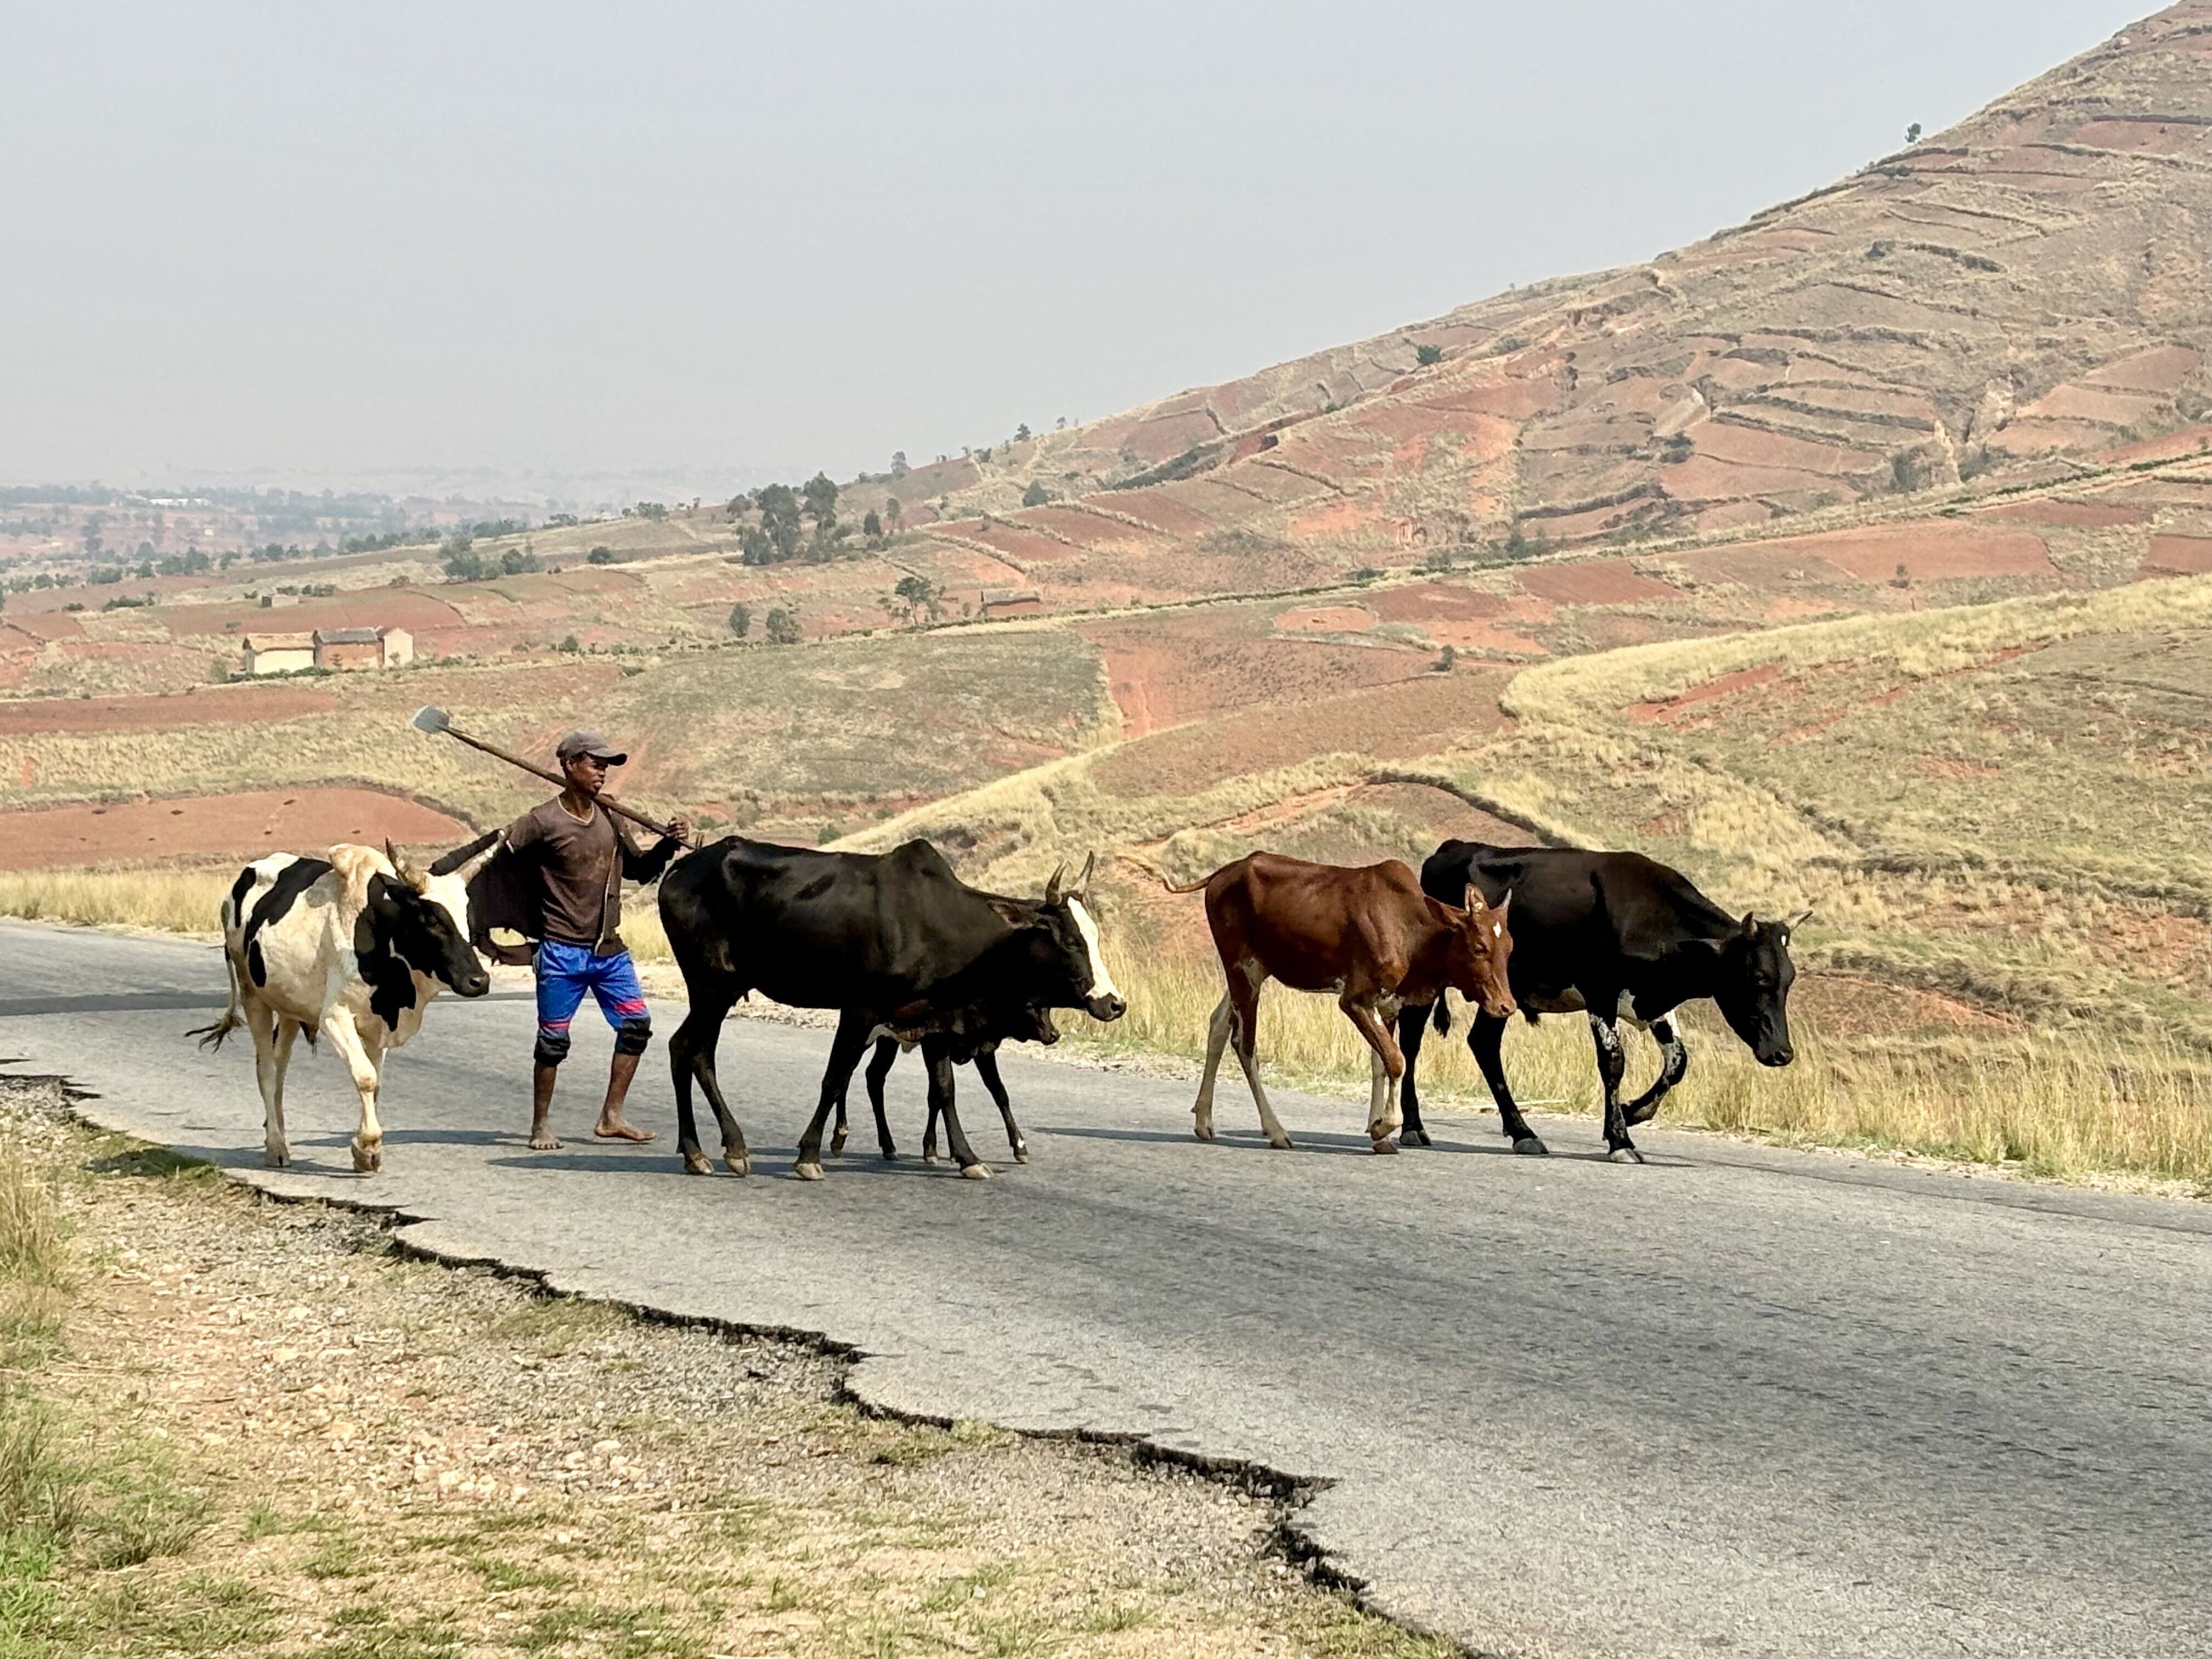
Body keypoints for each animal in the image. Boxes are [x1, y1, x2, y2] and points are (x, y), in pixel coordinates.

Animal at [193, 836, 493, 1177]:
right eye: (432, 919)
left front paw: (366, 1150)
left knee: (280, 1068)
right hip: (253, 996)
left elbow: (375, 1084)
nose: (479, 981)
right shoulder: (335, 1017)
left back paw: (277, 1133)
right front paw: (368, 1148)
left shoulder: (380, 1025)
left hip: (289, 1008)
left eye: (469, 920)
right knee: (267, 1070)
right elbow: (365, 1077)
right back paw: (276, 1147)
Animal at [654, 845, 1124, 1186]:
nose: (1113, 1003)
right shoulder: (860, 1010)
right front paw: (809, 1156)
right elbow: (834, 1079)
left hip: (720, 992)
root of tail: (680, 869)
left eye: (1096, 936)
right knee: (687, 1049)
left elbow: (945, 1091)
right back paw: (714, 1150)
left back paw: (708, 1151)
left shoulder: (934, 1023)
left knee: (693, 1053)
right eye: (1067, 940)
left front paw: (967, 1158)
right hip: (711, 987)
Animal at [1141, 858, 1522, 1159]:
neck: (1414, 932)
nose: (1506, 1005)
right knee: (1244, 1044)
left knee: (1219, 1023)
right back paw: (1275, 1130)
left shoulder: (1388, 1004)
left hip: (1255, 970)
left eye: (1510, 947)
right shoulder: (1354, 998)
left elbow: (1381, 1063)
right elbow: (1396, 1060)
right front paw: (1383, 1127)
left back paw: (1204, 1121)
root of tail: (1223, 873)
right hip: (1242, 967)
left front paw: (1379, 1134)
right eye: (1479, 946)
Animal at [1407, 836, 1805, 1159]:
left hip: (1500, 994)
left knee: (1484, 1044)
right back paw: (1413, 1126)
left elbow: (1677, 1063)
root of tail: (1452, 848)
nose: (1782, 1053)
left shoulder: (1651, 1001)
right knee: (1412, 1040)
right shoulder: (1600, 992)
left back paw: (1523, 1132)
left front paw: (1632, 1113)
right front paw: (1620, 1139)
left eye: (1789, 980)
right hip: (1426, 978)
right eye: (1758, 978)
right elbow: (1613, 1062)